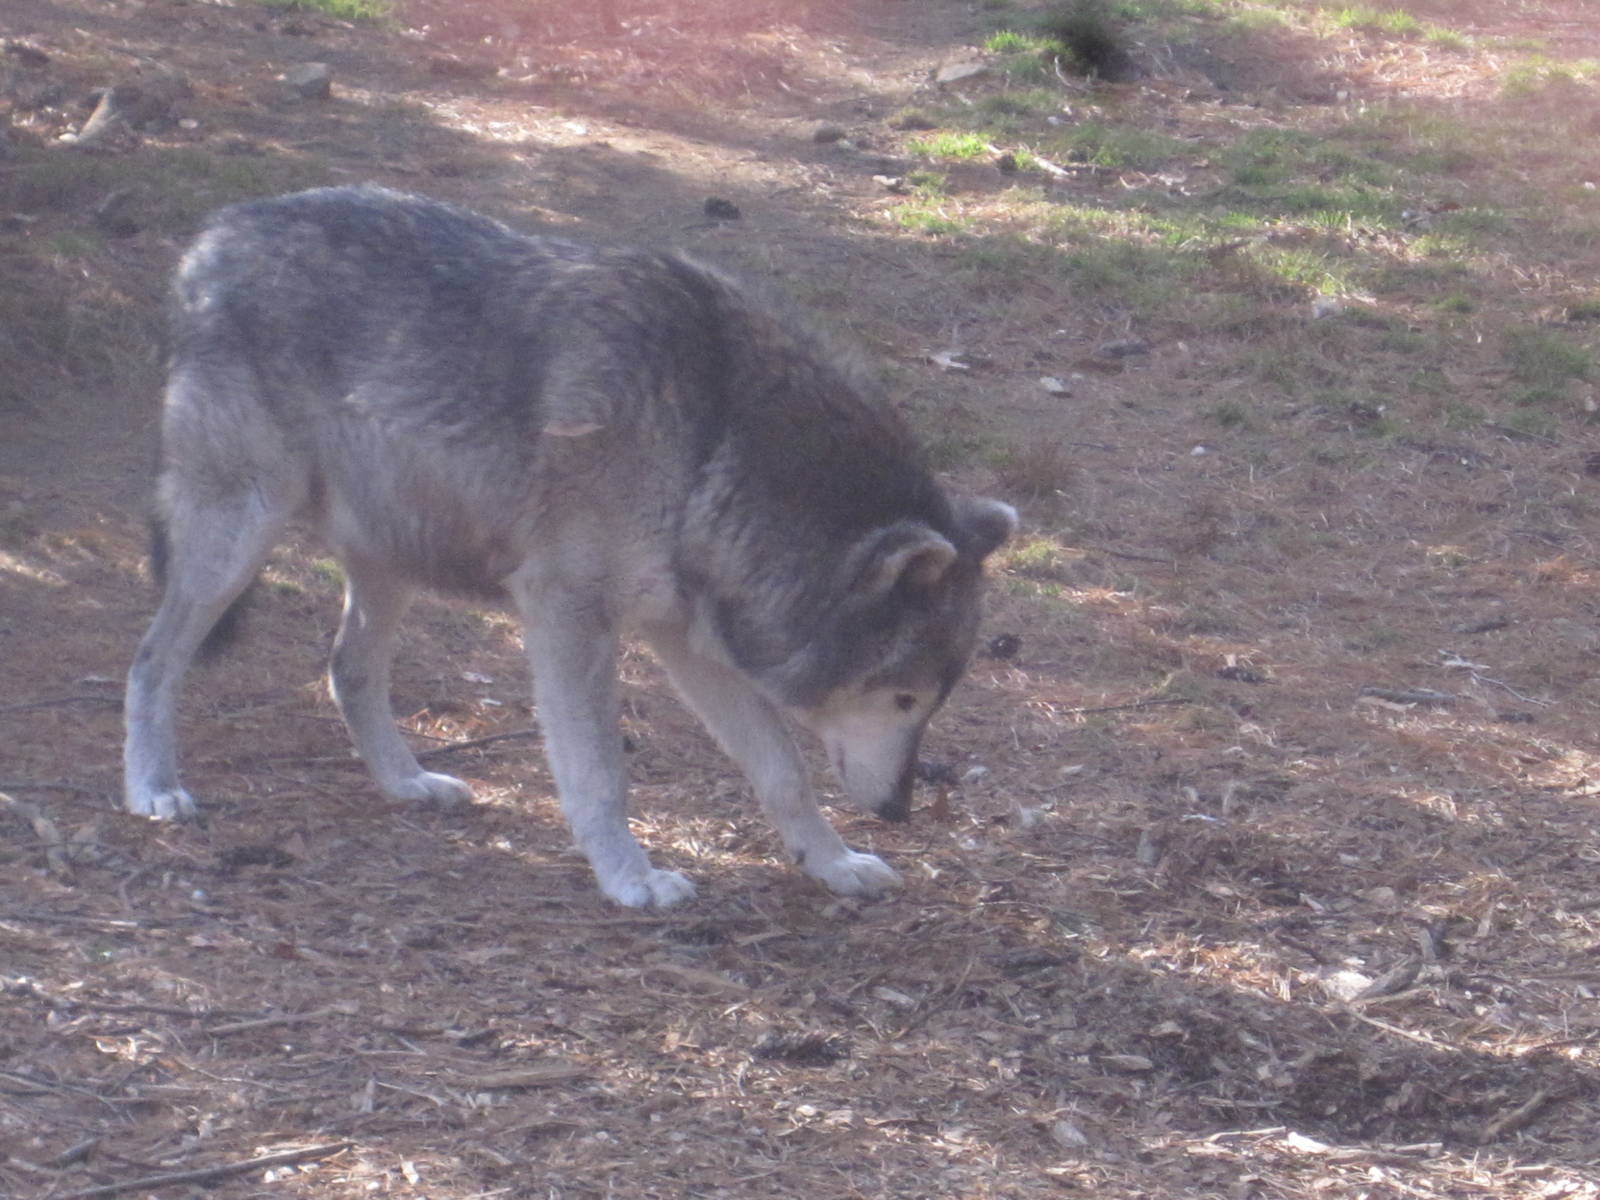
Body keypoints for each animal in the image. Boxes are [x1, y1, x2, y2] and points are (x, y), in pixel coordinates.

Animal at [124, 185, 1015, 908]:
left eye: (930, 702)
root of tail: (215, 232)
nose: (900, 809)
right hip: (237, 536)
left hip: (389, 559)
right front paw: (630, 879)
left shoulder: (687, 641)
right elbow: (600, 774)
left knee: (348, 671)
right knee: (152, 657)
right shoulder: (567, 614)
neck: (713, 439)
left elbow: (784, 774)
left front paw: (833, 865)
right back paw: (154, 789)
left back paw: (408, 782)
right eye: (903, 698)